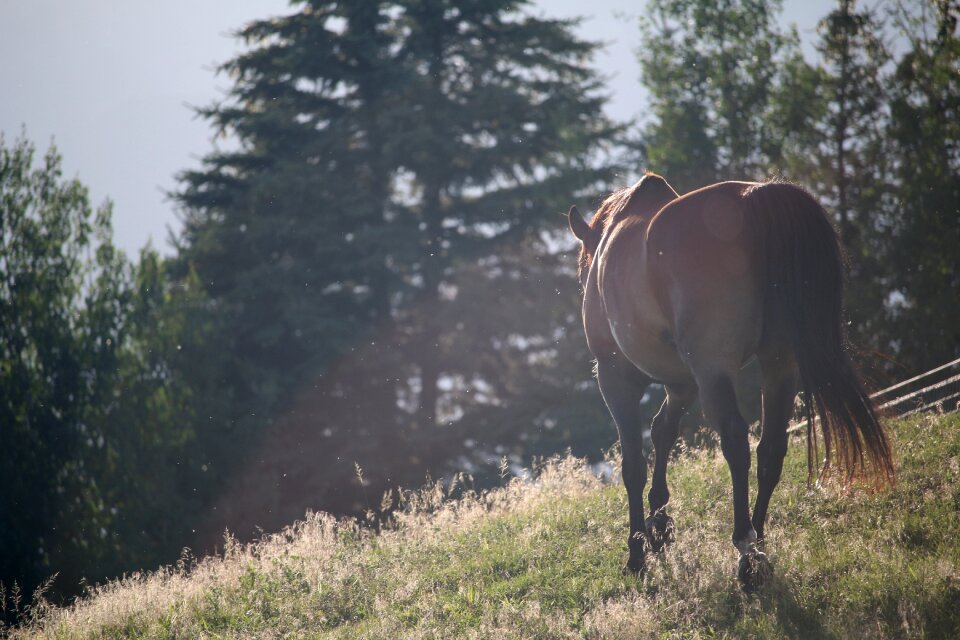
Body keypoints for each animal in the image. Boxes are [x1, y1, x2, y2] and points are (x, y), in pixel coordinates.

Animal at [568, 174, 892, 592]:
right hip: (778, 363)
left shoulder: (617, 378)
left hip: (714, 370)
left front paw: (638, 551)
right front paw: (660, 528)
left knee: (737, 443)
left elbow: (634, 464)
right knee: (771, 447)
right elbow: (662, 432)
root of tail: (755, 199)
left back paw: (745, 551)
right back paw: (759, 540)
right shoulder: (683, 383)